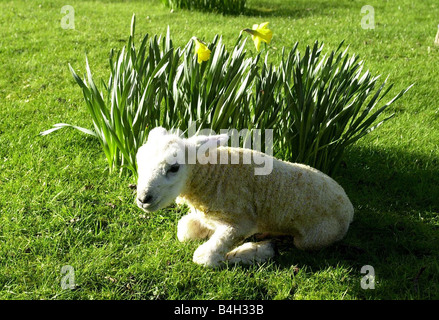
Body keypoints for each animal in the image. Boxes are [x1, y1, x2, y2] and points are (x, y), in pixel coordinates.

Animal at [136, 127, 356, 268]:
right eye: (139, 160)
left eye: (174, 168)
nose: (143, 198)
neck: (210, 175)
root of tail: (349, 207)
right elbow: (184, 229)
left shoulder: (240, 223)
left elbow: (204, 257)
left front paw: (253, 252)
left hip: (316, 237)